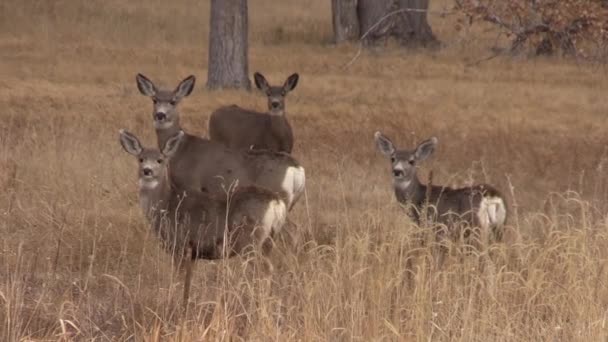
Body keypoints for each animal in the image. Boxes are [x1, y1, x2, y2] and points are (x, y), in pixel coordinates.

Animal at [120, 129, 288, 304]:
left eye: (160, 160)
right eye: (141, 159)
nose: (147, 170)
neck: (167, 205)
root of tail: (276, 202)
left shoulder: (180, 245)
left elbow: (178, 279)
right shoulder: (193, 253)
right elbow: (187, 284)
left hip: (249, 240)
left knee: (265, 268)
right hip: (268, 240)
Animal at [133, 73, 304, 210]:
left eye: (173, 101)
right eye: (154, 100)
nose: (160, 115)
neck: (181, 150)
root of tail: (298, 170)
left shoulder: (192, 184)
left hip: (278, 192)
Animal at [372, 131, 506, 246]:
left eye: (411, 161)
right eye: (392, 158)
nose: (397, 171)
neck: (418, 198)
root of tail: (492, 196)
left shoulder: (433, 226)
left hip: (476, 225)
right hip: (499, 225)